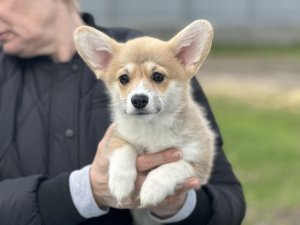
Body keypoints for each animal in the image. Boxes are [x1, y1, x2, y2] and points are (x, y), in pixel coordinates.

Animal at [75, 20, 216, 207]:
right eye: (124, 79)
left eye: (158, 76)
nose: (139, 100)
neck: (151, 126)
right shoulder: (116, 136)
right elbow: (124, 147)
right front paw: (120, 183)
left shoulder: (199, 162)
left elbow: (172, 167)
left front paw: (152, 189)